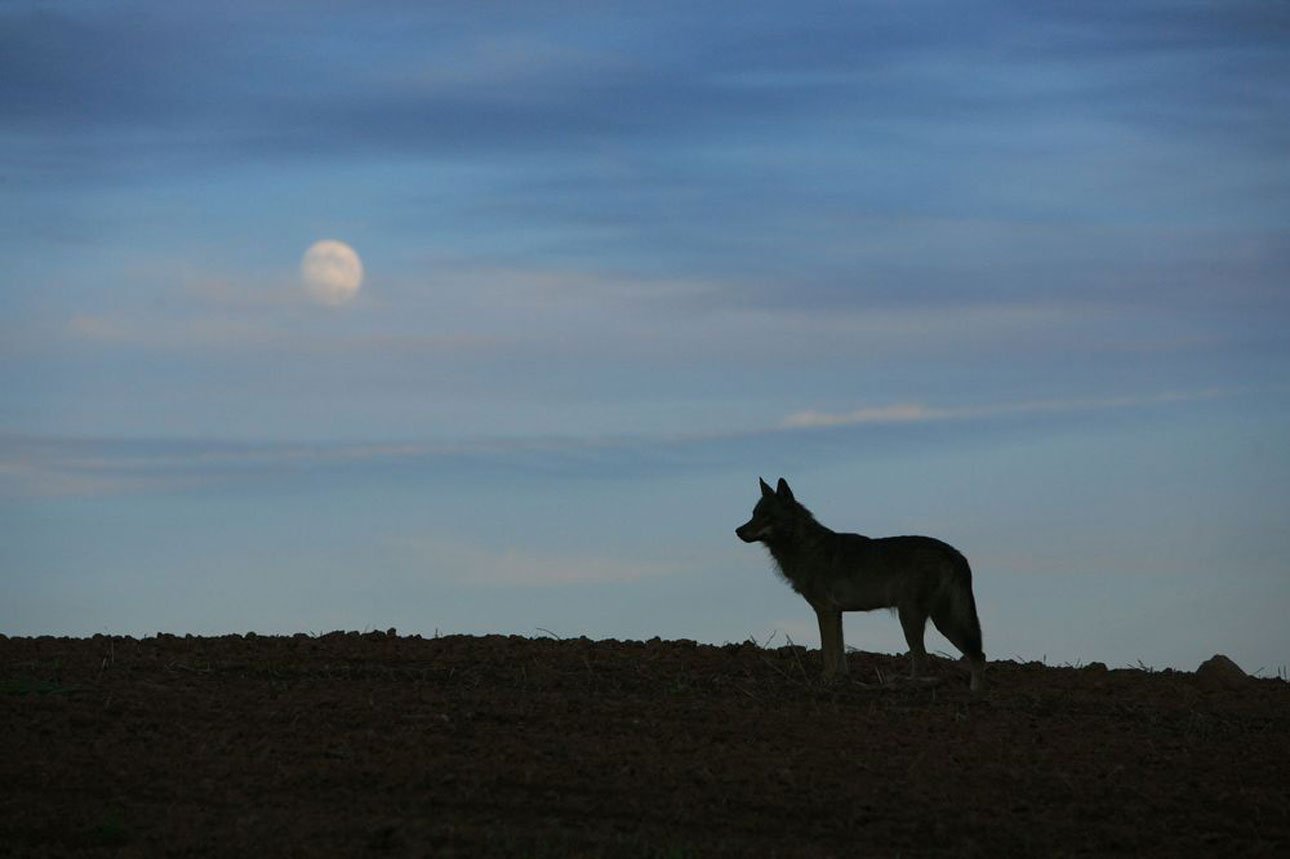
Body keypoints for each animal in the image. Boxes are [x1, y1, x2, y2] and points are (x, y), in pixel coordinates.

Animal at [737, 474, 985, 691]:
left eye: (767, 516)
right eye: (753, 514)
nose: (737, 531)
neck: (804, 548)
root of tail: (954, 552)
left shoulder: (825, 611)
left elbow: (828, 653)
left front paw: (824, 681)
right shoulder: (836, 613)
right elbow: (839, 655)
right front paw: (841, 680)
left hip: (916, 618)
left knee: (928, 659)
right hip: (938, 620)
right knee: (975, 654)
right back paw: (972, 692)